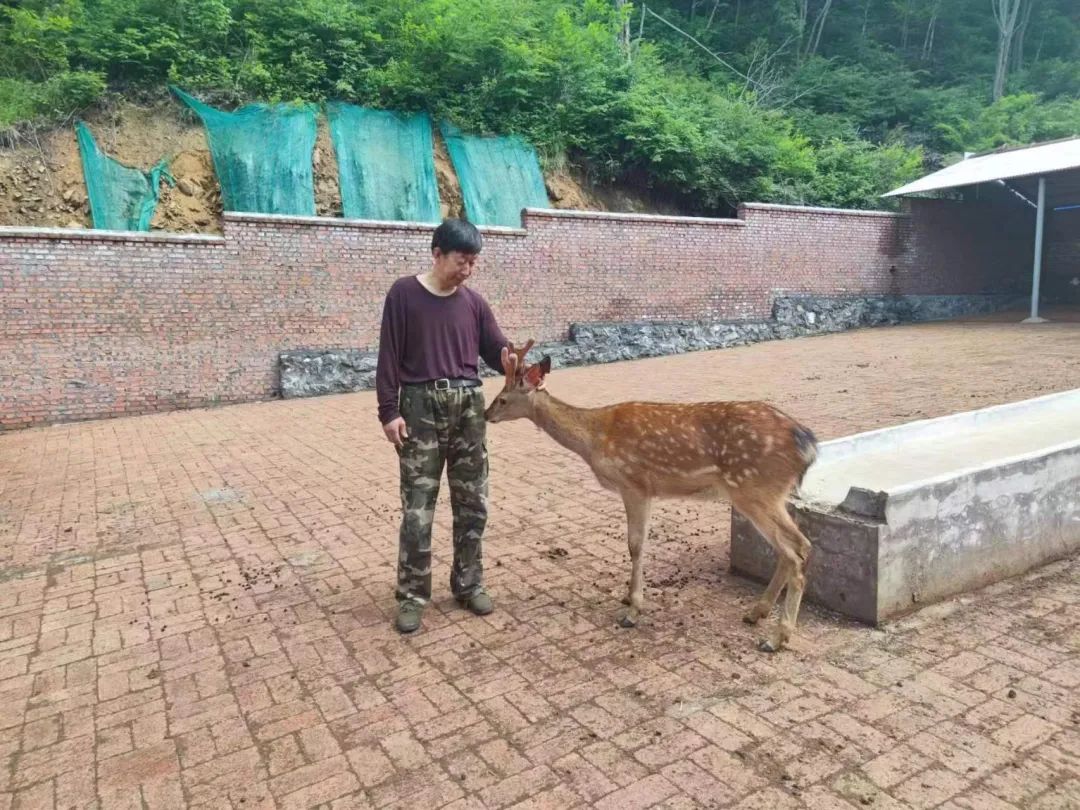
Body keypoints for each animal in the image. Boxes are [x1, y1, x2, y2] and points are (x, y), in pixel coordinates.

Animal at [483, 341, 816, 652]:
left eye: (502, 398)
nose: (486, 414)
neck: (594, 439)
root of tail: (807, 444)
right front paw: (627, 597)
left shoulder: (635, 484)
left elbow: (635, 545)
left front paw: (632, 610)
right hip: (767, 493)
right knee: (791, 549)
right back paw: (756, 613)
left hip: (755, 489)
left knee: (798, 548)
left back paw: (776, 638)